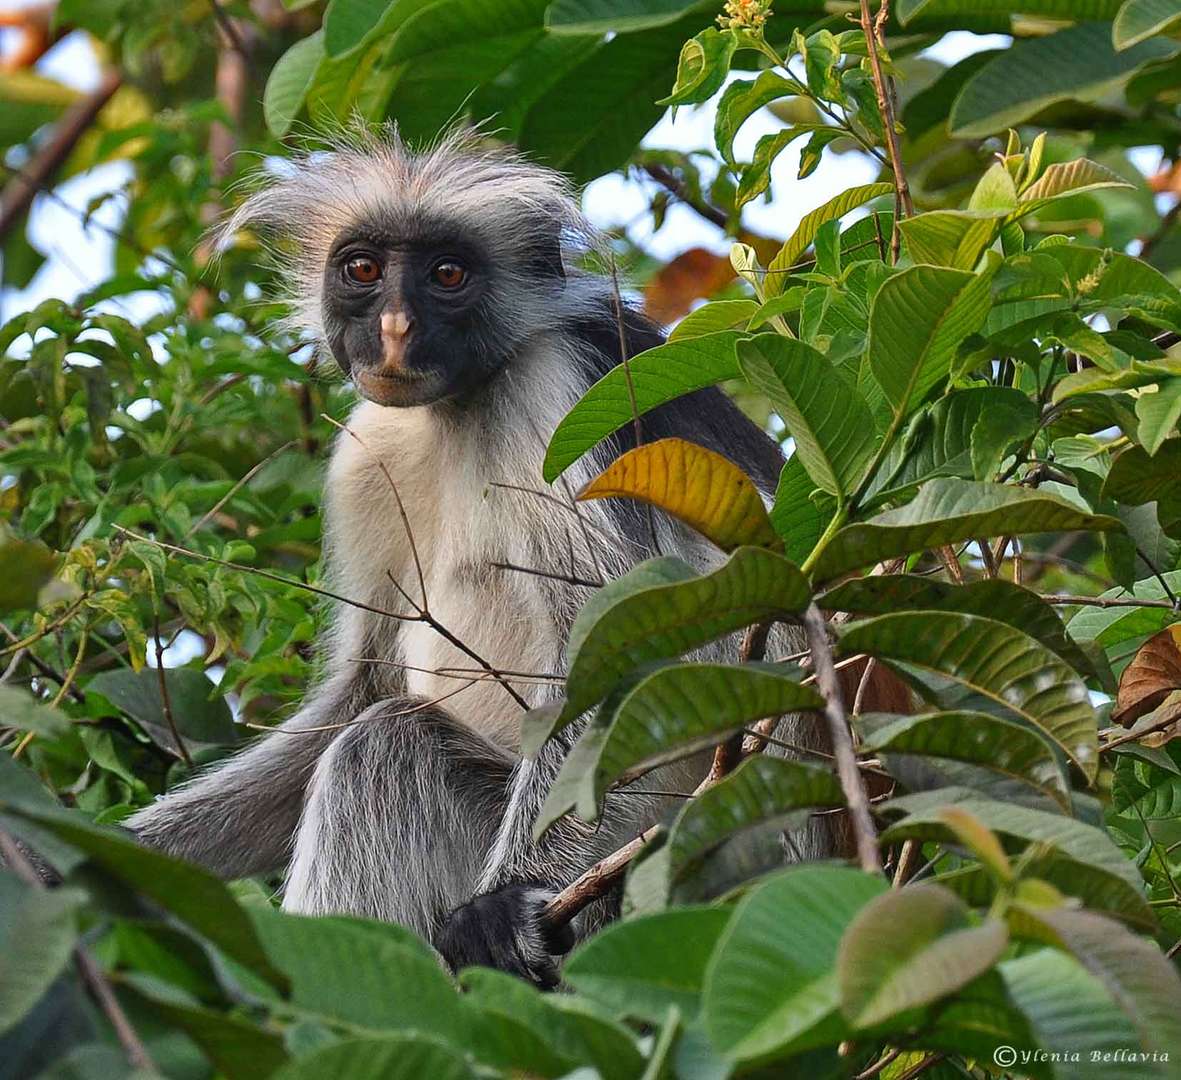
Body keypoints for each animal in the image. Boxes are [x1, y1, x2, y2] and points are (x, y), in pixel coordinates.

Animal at [126, 126, 831, 983]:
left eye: (447, 275)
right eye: (362, 270)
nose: (395, 329)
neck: (459, 404)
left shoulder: (558, 391)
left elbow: (634, 656)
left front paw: (503, 902)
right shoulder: (368, 451)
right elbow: (361, 689)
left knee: (388, 747)